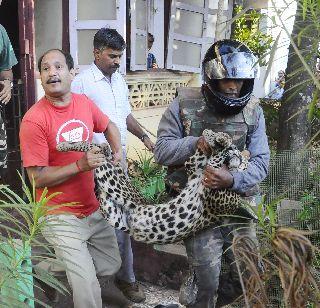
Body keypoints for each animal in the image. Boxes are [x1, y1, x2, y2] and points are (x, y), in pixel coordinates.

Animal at [57, 129, 248, 244]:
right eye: (236, 151)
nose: (235, 152)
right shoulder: (194, 166)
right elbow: (201, 154)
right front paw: (215, 136)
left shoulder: (214, 180)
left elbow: (217, 160)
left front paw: (222, 141)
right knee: (97, 149)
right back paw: (67, 145)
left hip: (111, 189)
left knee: (96, 152)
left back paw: (71, 146)